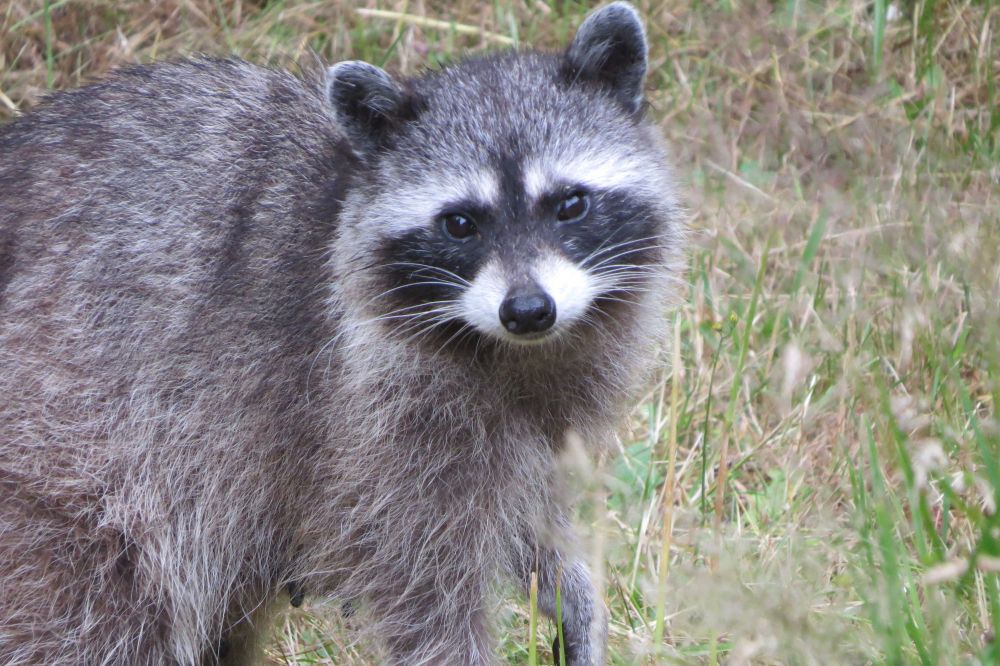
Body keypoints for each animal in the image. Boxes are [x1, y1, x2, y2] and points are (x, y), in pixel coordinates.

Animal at [0, 2, 683, 664]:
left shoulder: (545, 405)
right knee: (87, 614)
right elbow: (423, 592)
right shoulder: (361, 426)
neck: (508, 352)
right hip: (68, 467)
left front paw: (572, 588)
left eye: (570, 204)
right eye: (461, 223)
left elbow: (530, 511)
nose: (529, 310)